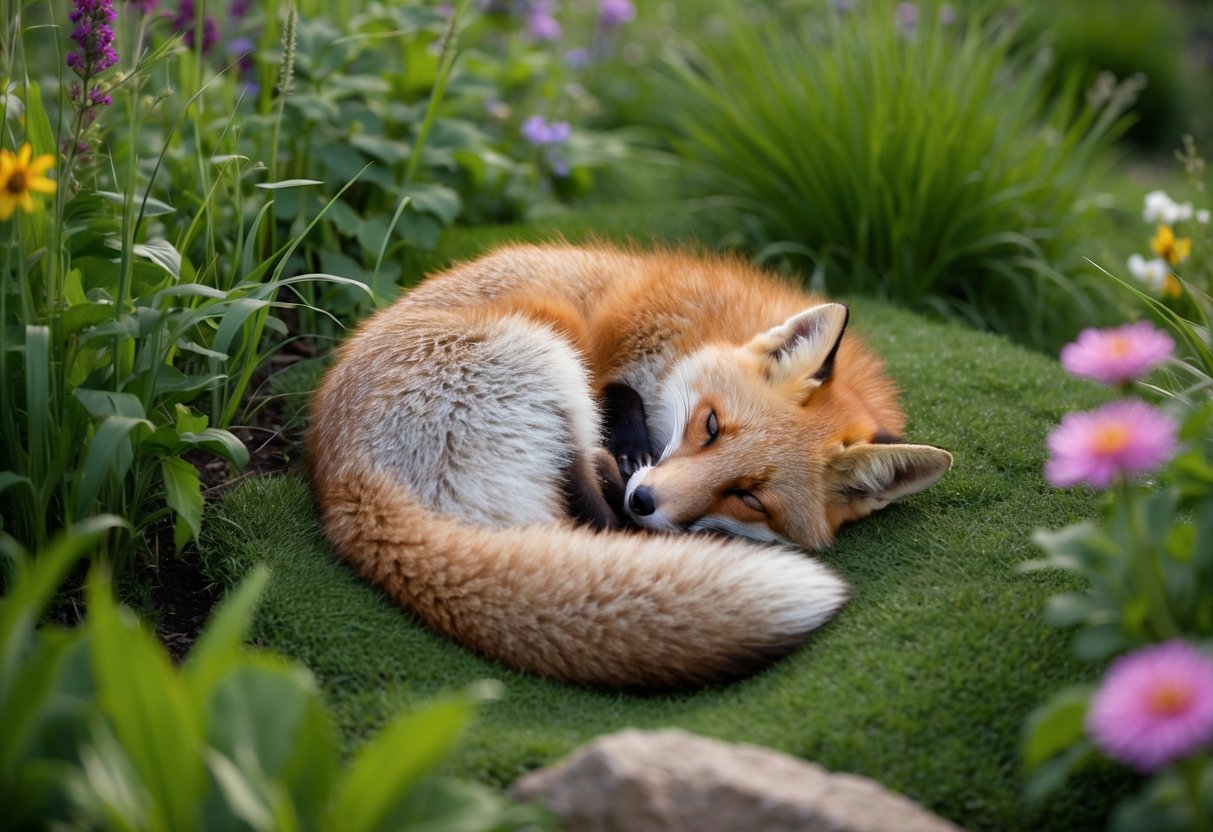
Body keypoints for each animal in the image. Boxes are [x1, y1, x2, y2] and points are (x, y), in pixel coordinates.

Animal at [306, 243, 952, 689]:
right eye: (711, 426)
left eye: (749, 498)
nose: (646, 501)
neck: (694, 331)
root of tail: (342, 482)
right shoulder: (605, 347)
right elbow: (619, 393)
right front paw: (630, 444)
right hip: (546, 348)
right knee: (594, 509)